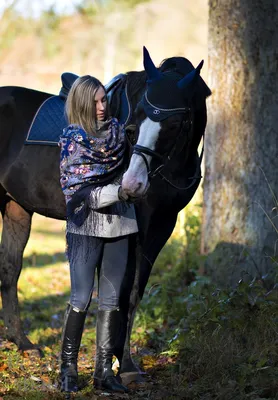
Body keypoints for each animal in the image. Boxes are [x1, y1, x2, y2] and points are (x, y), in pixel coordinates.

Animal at [0, 46, 210, 378]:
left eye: (176, 125)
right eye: (133, 123)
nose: (133, 184)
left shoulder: (163, 225)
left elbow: (134, 291)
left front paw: (125, 363)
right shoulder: (137, 226)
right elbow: (122, 292)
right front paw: (120, 364)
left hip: (16, 209)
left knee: (10, 270)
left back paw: (22, 343)